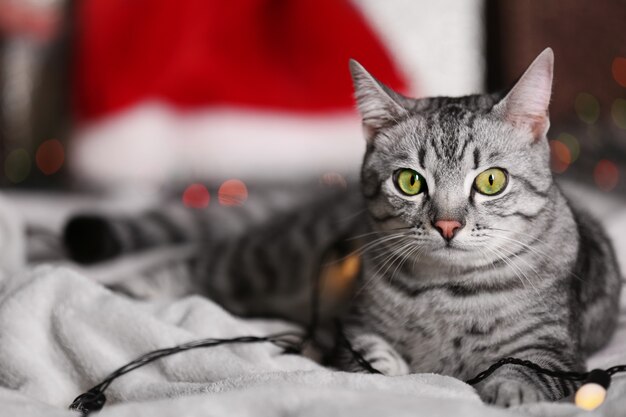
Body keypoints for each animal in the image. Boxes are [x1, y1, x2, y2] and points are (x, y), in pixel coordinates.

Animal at [59, 47, 620, 404]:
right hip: (264, 259)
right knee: (187, 263)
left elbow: (525, 370)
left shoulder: (553, 349)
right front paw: (390, 372)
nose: (447, 224)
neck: (446, 293)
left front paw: (507, 390)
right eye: (410, 182)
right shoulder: (357, 324)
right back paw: (102, 286)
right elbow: (369, 356)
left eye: (491, 181)